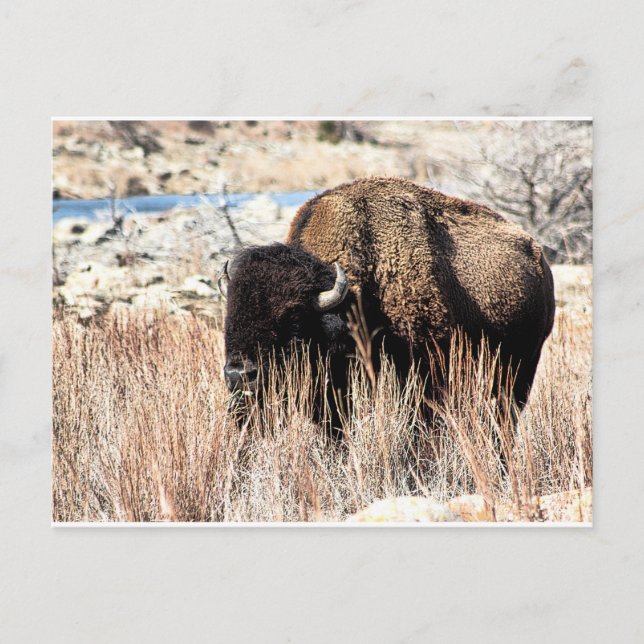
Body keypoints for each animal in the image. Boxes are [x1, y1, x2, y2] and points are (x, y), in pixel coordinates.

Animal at [218, 177, 555, 425]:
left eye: (294, 320)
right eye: (230, 316)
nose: (239, 375)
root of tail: (539, 257)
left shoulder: (423, 370)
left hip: (522, 364)